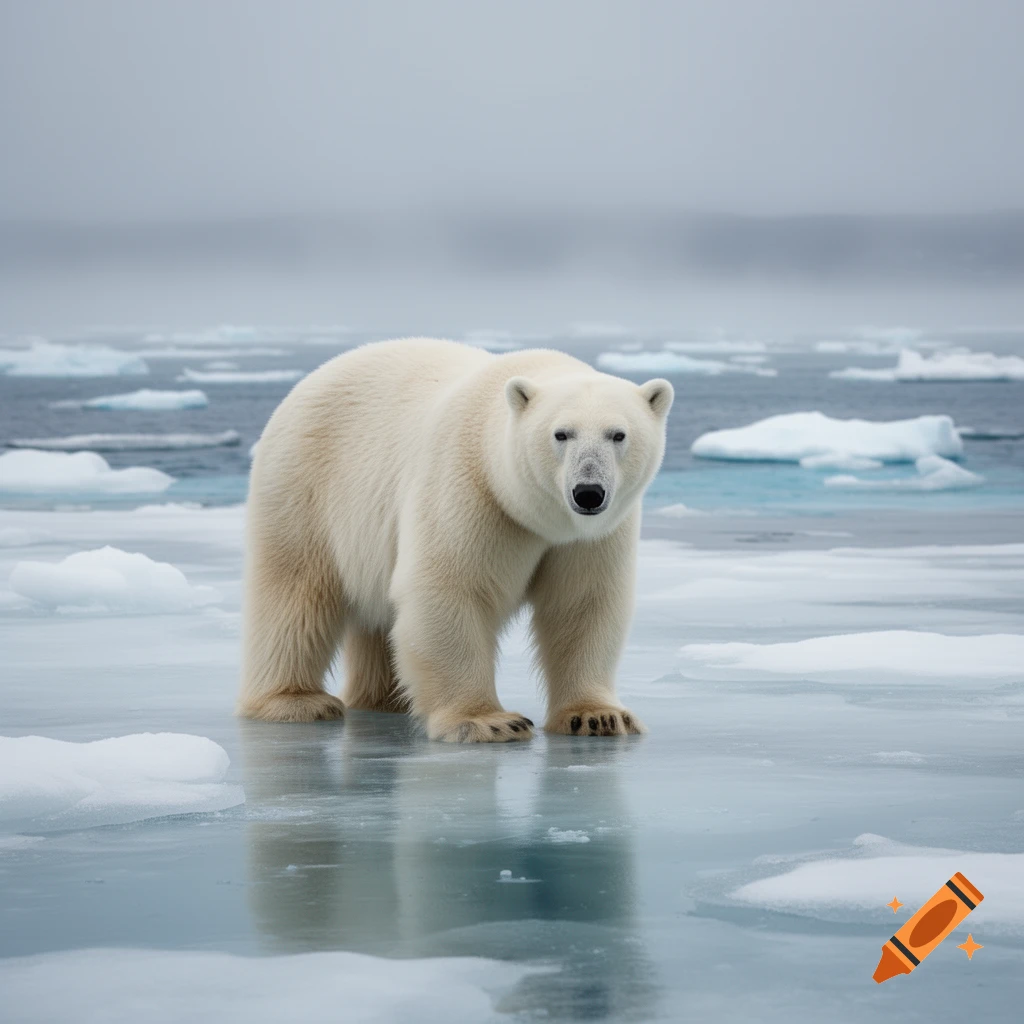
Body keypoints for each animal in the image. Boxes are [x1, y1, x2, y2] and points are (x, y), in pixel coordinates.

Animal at [237, 338, 673, 742]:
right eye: (561, 434)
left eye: (618, 435)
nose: (588, 492)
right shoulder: (470, 489)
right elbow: (451, 589)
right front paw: (490, 722)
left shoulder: (591, 537)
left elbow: (583, 604)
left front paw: (599, 716)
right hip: (305, 488)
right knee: (295, 594)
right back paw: (296, 701)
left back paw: (384, 698)